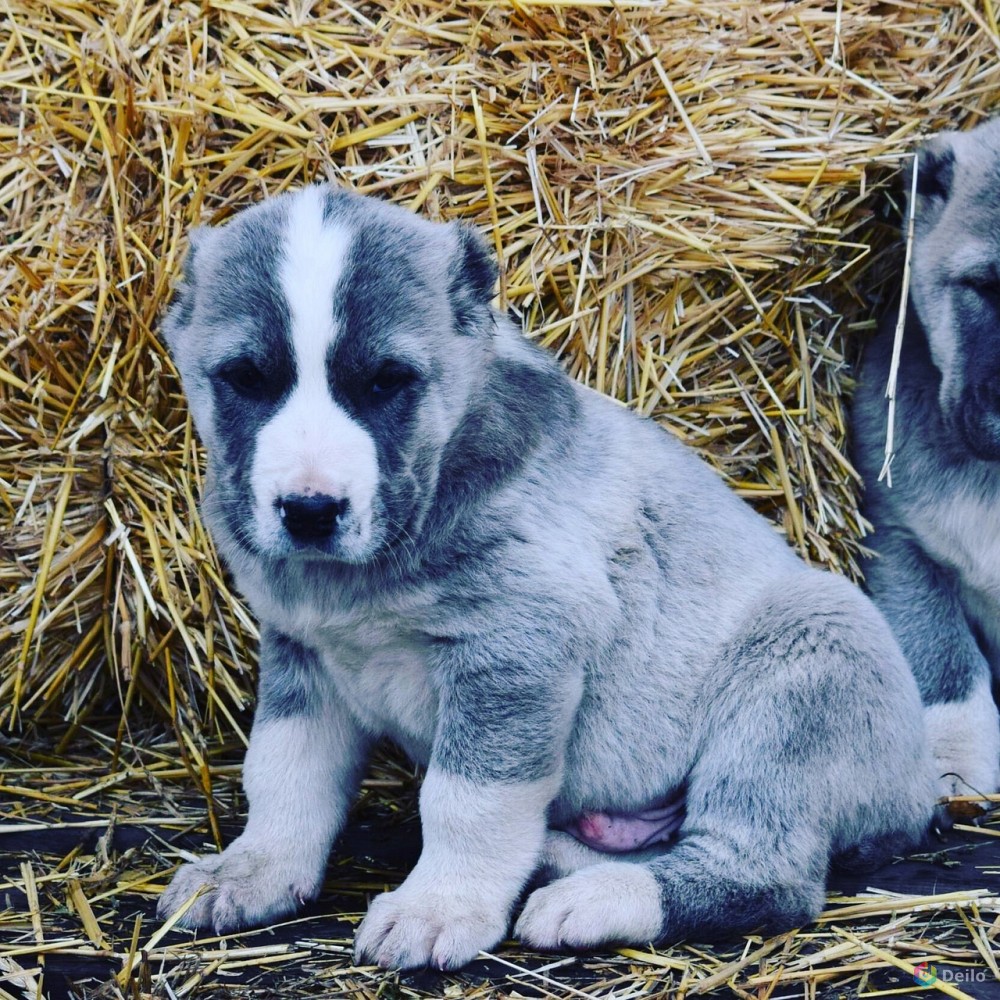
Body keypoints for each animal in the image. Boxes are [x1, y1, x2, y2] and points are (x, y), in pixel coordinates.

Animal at [158, 184, 936, 964]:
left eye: (386, 382)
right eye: (245, 380)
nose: (311, 510)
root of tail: (921, 790)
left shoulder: (516, 651)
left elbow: (467, 800)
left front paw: (440, 906)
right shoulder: (304, 654)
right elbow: (284, 775)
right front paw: (254, 870)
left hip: (808, 659)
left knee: (767, 875)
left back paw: (593, 901)